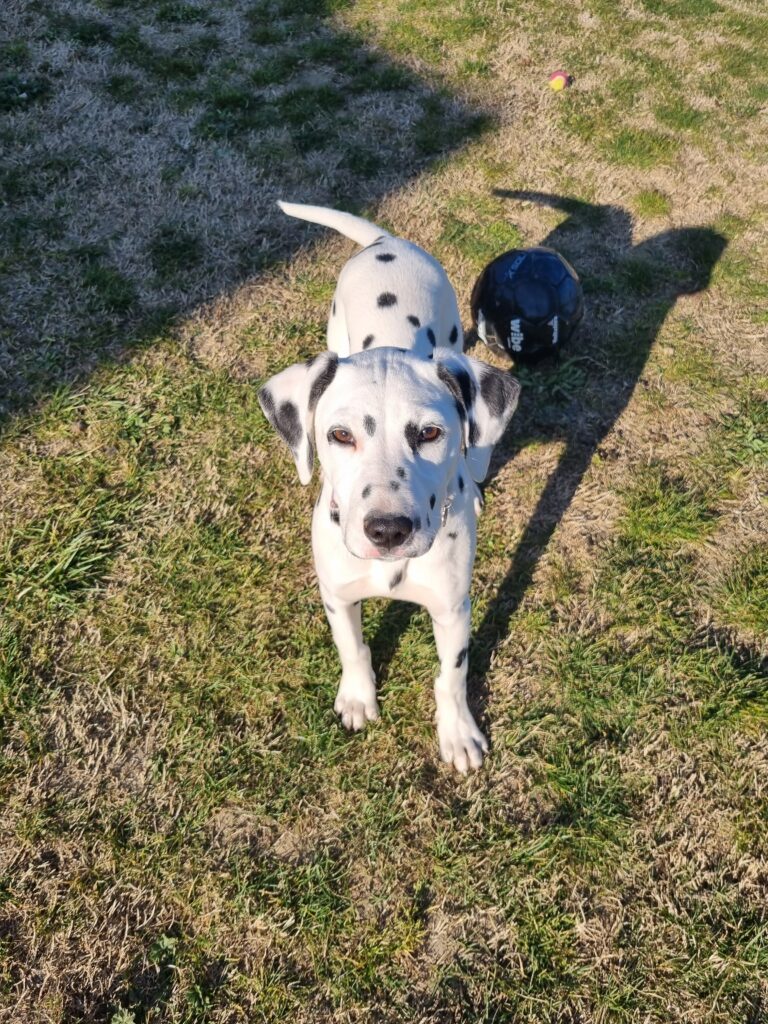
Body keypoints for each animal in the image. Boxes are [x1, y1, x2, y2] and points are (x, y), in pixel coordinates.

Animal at [260, 205, 520, 772]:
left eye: (430, 433)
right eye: (340, 435)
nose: (386, 530)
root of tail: (386, 242)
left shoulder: (452, 609)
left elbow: (452, 675)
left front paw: (457, 732)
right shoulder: (337, 596)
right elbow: (353, 649)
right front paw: (358, 697)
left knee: (481, 445)